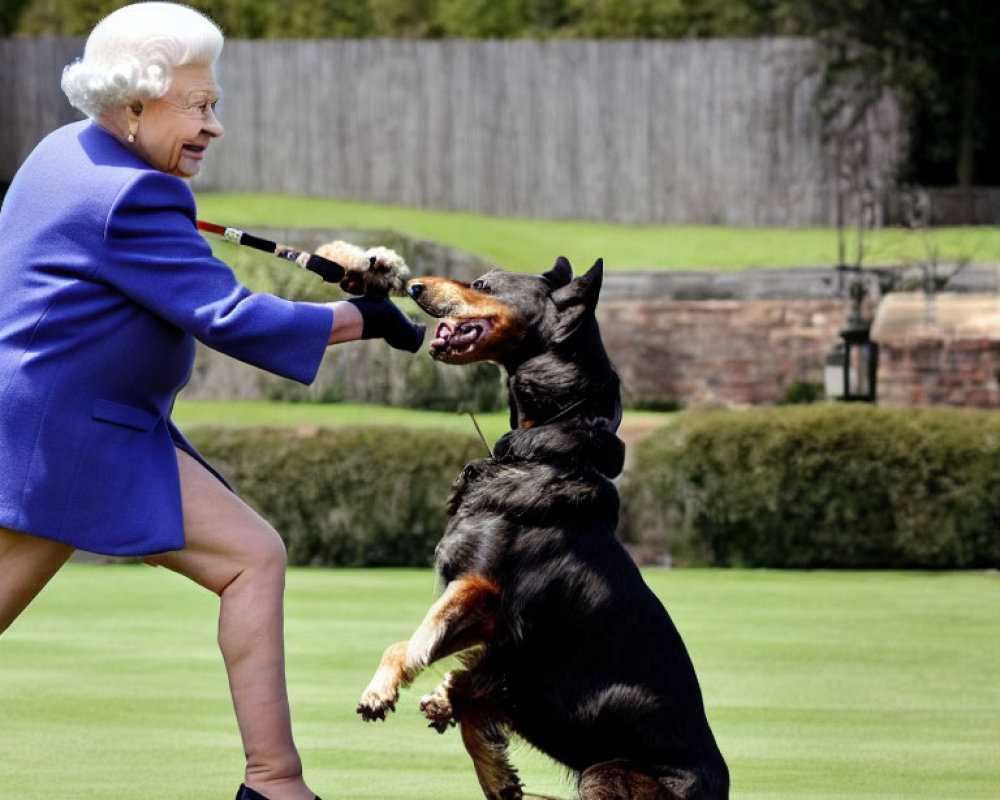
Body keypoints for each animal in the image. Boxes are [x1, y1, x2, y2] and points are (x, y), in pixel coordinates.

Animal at [358, 260, 728, 796]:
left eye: (484, 285)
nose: (413, 286)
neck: (544, 450)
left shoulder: (486, 592)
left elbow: (418, 642)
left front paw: (384, 691)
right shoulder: (499, 636)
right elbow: (448, 672)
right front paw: (492, 766)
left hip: (604, 772)